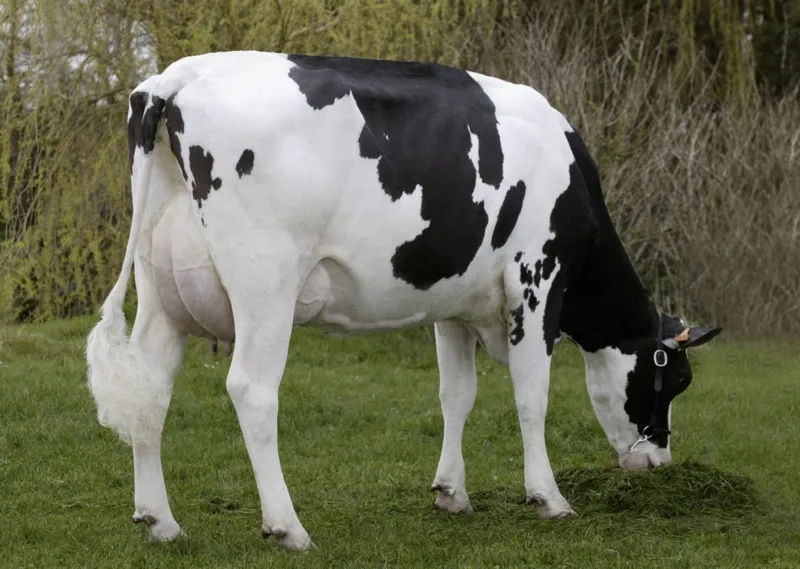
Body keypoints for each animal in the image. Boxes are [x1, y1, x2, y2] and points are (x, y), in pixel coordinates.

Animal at [86, 51, 722, 550]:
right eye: (676, 379)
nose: (658, 463)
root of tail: (177, 78)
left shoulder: (455, 303)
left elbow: (456, 396)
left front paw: (451, 492)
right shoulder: (537, 281)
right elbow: (531, 396)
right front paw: (549, 497)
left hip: (163, 290)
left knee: (149, 389)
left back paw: (161, 522)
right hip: (265, 282)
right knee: (253, 391)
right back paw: (288, 527)